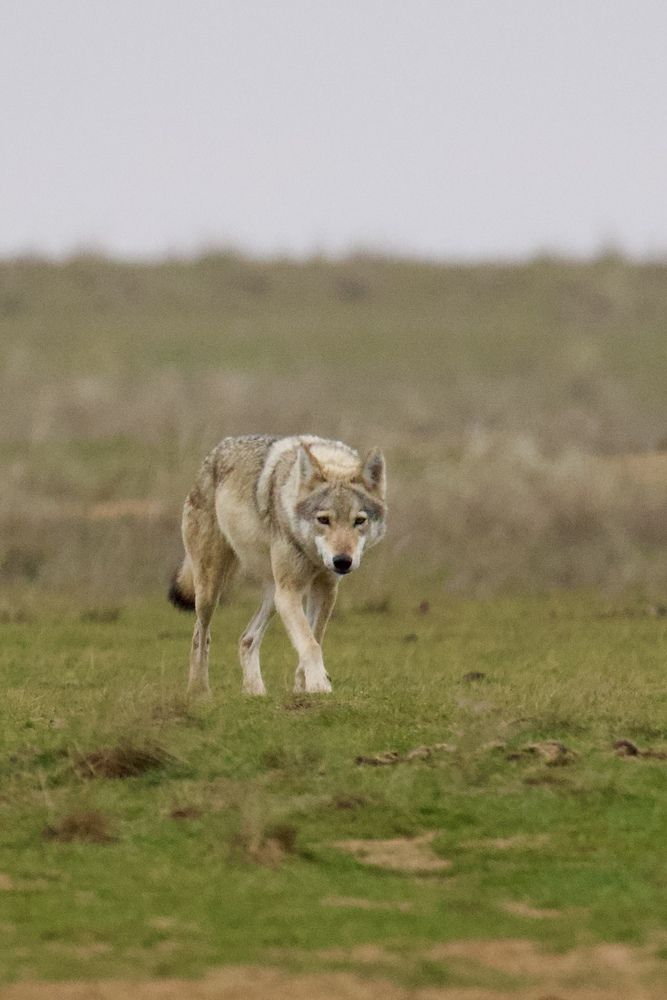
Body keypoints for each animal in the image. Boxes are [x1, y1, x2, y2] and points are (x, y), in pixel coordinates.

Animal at [169, 435, 387, 696]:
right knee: (200, 635)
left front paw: (303, 688)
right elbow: (310, 644)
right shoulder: (290, 590)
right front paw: (319, 685)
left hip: (273, 594)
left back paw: (255, 692)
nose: (342, 561)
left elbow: (313, 638)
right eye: (324, 520)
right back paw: (199, 691)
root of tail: (216, 450)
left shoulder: (325, 589)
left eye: (359, 521)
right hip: (212, 592)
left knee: (247, 639)